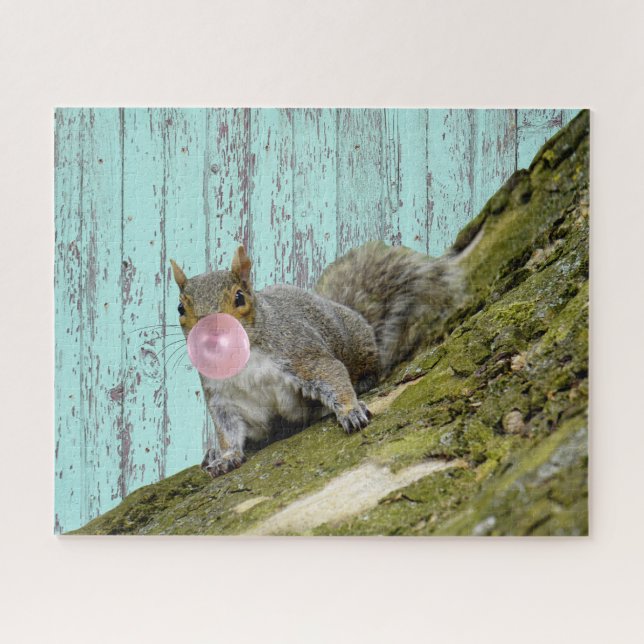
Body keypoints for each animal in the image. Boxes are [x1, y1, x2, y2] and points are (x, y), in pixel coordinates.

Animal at [170, 238, 473, 478]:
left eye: (239, 297)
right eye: (180, 308)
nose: (210, 333)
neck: (242, 360)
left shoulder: (300, 353)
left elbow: (331, 373)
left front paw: (351, 411)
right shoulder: (223, 397)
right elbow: (228, 429)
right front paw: (226, 456)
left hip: (357, 347)